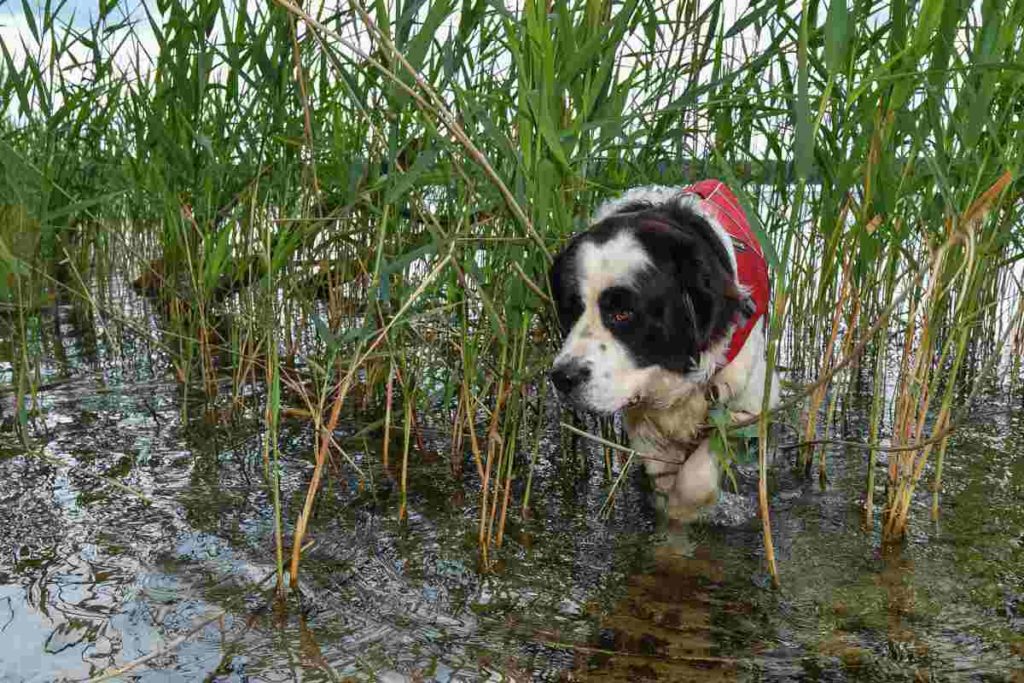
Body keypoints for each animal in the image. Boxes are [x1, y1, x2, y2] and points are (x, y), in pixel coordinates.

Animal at [548, 179, 778, 520]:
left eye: (623, 313)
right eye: (571, 309)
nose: (564, 377)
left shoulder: (753, 403)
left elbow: (698, 473)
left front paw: (685, 510)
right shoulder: (644, 423)